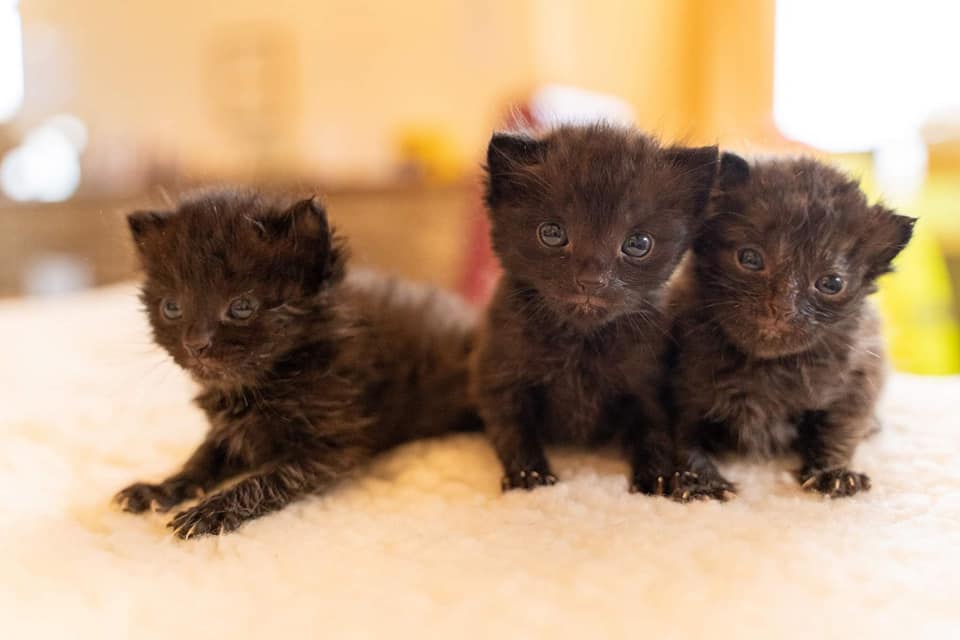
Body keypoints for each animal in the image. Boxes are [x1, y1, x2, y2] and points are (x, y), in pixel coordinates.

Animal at [116, 189, 480, 536]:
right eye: (172, 308)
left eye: (242, 307)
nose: (195, 344)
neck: (267, 380)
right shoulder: (231, 432)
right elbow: (200, 460)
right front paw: (160, 488)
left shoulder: (332, 446)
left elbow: (266, 479)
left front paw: (212, 510)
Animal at [472, 125, 720, 496]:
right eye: (552, 233)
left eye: (638, 243)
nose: (591, 280)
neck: (580, 341)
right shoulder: (499, 373)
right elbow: (512, 428)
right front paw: (529, 475)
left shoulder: (646, 380)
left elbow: (653, 430)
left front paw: (657, 477)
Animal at [668, 155, 916, 500]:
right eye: (750, 258)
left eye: (831, 283)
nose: (781, 307)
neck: (766, 368)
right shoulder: (681, 389)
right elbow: (683, 436)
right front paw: (698, 480)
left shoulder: (858, 379)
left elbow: (840, 431)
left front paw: (833, 474)